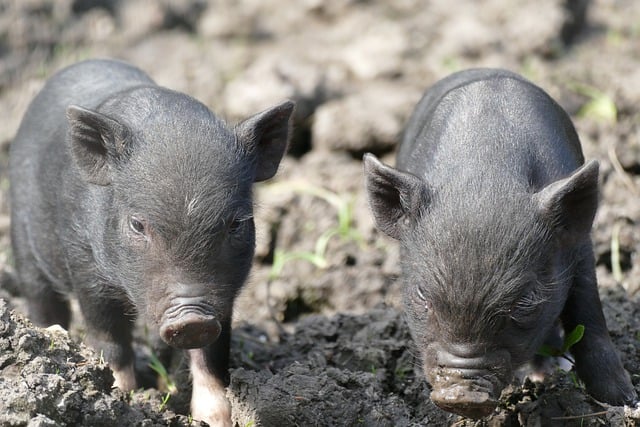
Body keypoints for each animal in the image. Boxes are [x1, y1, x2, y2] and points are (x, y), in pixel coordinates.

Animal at [9, 58, 294, 426]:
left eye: (236, 223)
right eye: (137, 224)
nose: (191, 319)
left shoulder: (224, 296)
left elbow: (213, 354)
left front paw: (215, 419)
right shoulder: (86, 267)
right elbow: (109, 339)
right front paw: (124, 398)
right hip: (21, 238)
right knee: (42, 299)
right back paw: (49, 333)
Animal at [363, 68, 637, 418]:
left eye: (524, 301)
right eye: (422, 294)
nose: (462, 395)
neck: (486, 180)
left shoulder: (580, 249)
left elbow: (589, 314)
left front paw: (623, 401)